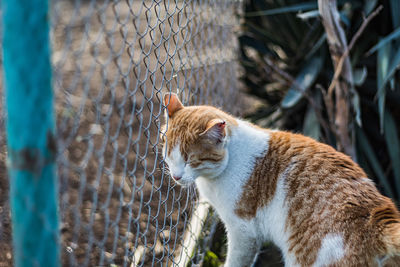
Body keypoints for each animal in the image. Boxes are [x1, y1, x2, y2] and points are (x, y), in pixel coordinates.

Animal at [161, 93, 400, 266]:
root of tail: (376, 214)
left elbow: (236, 261)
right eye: (168, 153)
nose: (175, 175)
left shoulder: (243, 232)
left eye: (191, 160)